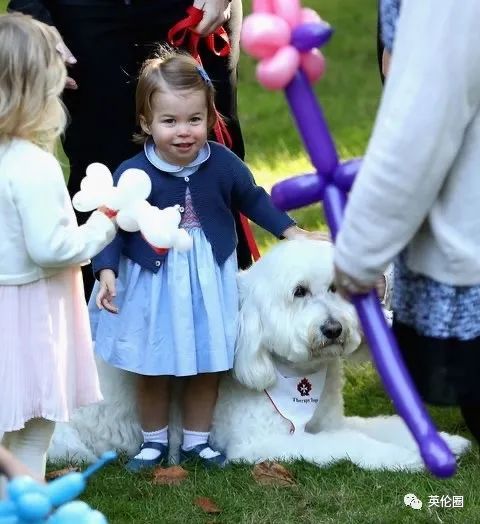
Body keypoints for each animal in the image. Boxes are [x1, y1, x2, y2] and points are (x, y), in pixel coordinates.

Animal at [49, 239, 468, 468]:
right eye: (299, 292)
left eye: (335, 289)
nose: (334, 329)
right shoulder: (266, 443)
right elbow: (351, 444)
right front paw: (407, 458)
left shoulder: (328, 422)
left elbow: (381, 425)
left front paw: (445, 443)